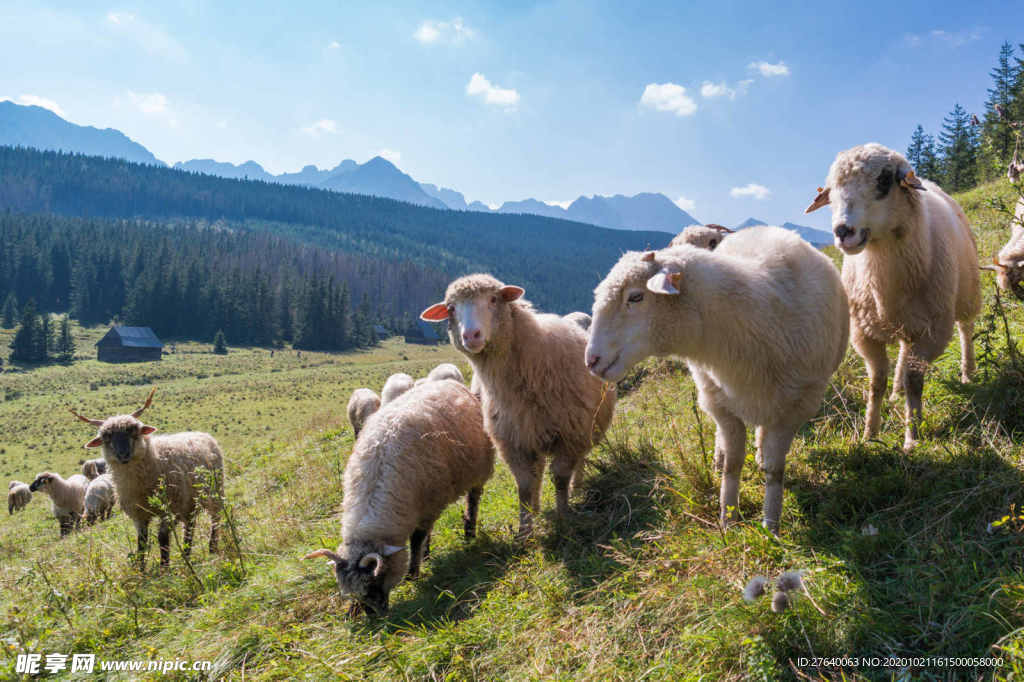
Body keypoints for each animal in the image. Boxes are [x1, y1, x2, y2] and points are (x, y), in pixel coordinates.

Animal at [70, 387, 226, 569]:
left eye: (134, 432)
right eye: (106, 438)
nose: (123, 454)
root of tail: (204, 434)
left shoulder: (170, 508)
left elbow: (162, 538)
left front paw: (164, 567)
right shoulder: (139, 514)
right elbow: (142, 542)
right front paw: (141, 568)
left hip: (214, 491)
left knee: (215, 517)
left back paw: (212, 547)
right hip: (189, 500)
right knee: (190, 524)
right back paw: (187, 552)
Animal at [301, 378, 493, 614]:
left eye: (374, 582)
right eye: (351, 592)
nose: (375, 616)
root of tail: (449, 382)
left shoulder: (429, 505)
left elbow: (417, 539)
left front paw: (413, 573)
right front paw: (423, 557)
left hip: (479, 468)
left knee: (473, 501)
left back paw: (469, 532)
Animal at [417, 274, 614, 532]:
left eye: (493, 299)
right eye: (451, 308)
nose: (471, 336)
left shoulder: (570, 434)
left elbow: (560, 478)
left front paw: (563, 517)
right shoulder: (514, 442)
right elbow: (525, 487)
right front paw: (524, 530)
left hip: (584, 427)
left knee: (578, 461)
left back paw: (577, 487)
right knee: (538, 471)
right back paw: (538, 507)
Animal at [585, 225, 847, 528]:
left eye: (636, 297)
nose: (591, 360)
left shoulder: (797, 407)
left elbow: (775, 470)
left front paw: (771, 524)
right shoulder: (722, 407)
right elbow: (733, 465)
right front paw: (728, 520)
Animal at [802, 142, 978, 448]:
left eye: (884, 182)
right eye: (832, 191)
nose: (842, 232)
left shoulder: (932, 332)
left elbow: (915, 381)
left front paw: (912, 437)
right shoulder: (864, 334)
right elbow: (876, 382)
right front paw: (870, 435)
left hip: (966, 293)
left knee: (966, 329)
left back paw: (968, 373)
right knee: (903, 355)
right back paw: (897, 393)